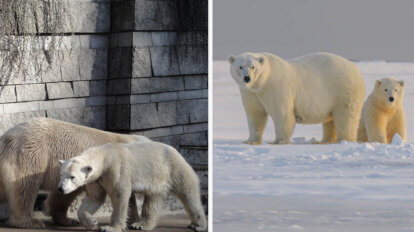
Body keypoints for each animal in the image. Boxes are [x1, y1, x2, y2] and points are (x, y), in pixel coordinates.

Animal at [0, 118, 150, 228]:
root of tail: (5, 139)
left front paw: (67, 219)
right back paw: (31, 222)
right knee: (25, 188)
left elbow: (64, 194)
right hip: (31, 156)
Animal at [58, 141, 207, 232]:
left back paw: (198, 225)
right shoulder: (96, 179)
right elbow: (95, 198)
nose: (61, 189)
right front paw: (92, 222)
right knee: (153, 200)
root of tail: (178, 153)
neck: (105, 156)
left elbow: (120, 195)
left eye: (72, 177)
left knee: (189, 194)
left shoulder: (117, 169)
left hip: (174, 169)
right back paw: (141, 225)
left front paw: (110, 228)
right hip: (158, 179)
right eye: (61, 174)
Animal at [228, 51, 368, 144]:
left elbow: (282, 114)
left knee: (346, 116)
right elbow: (255, 115)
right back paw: (324, 141)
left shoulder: (277, 87)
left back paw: (343, 140)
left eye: (253, 67)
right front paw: (250, 141)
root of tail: (355, 68)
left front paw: (279, 141)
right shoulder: (251, 93)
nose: (247, 78)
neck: (263, 82)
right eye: (240, 67)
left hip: (343, 89)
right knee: (330, 119)